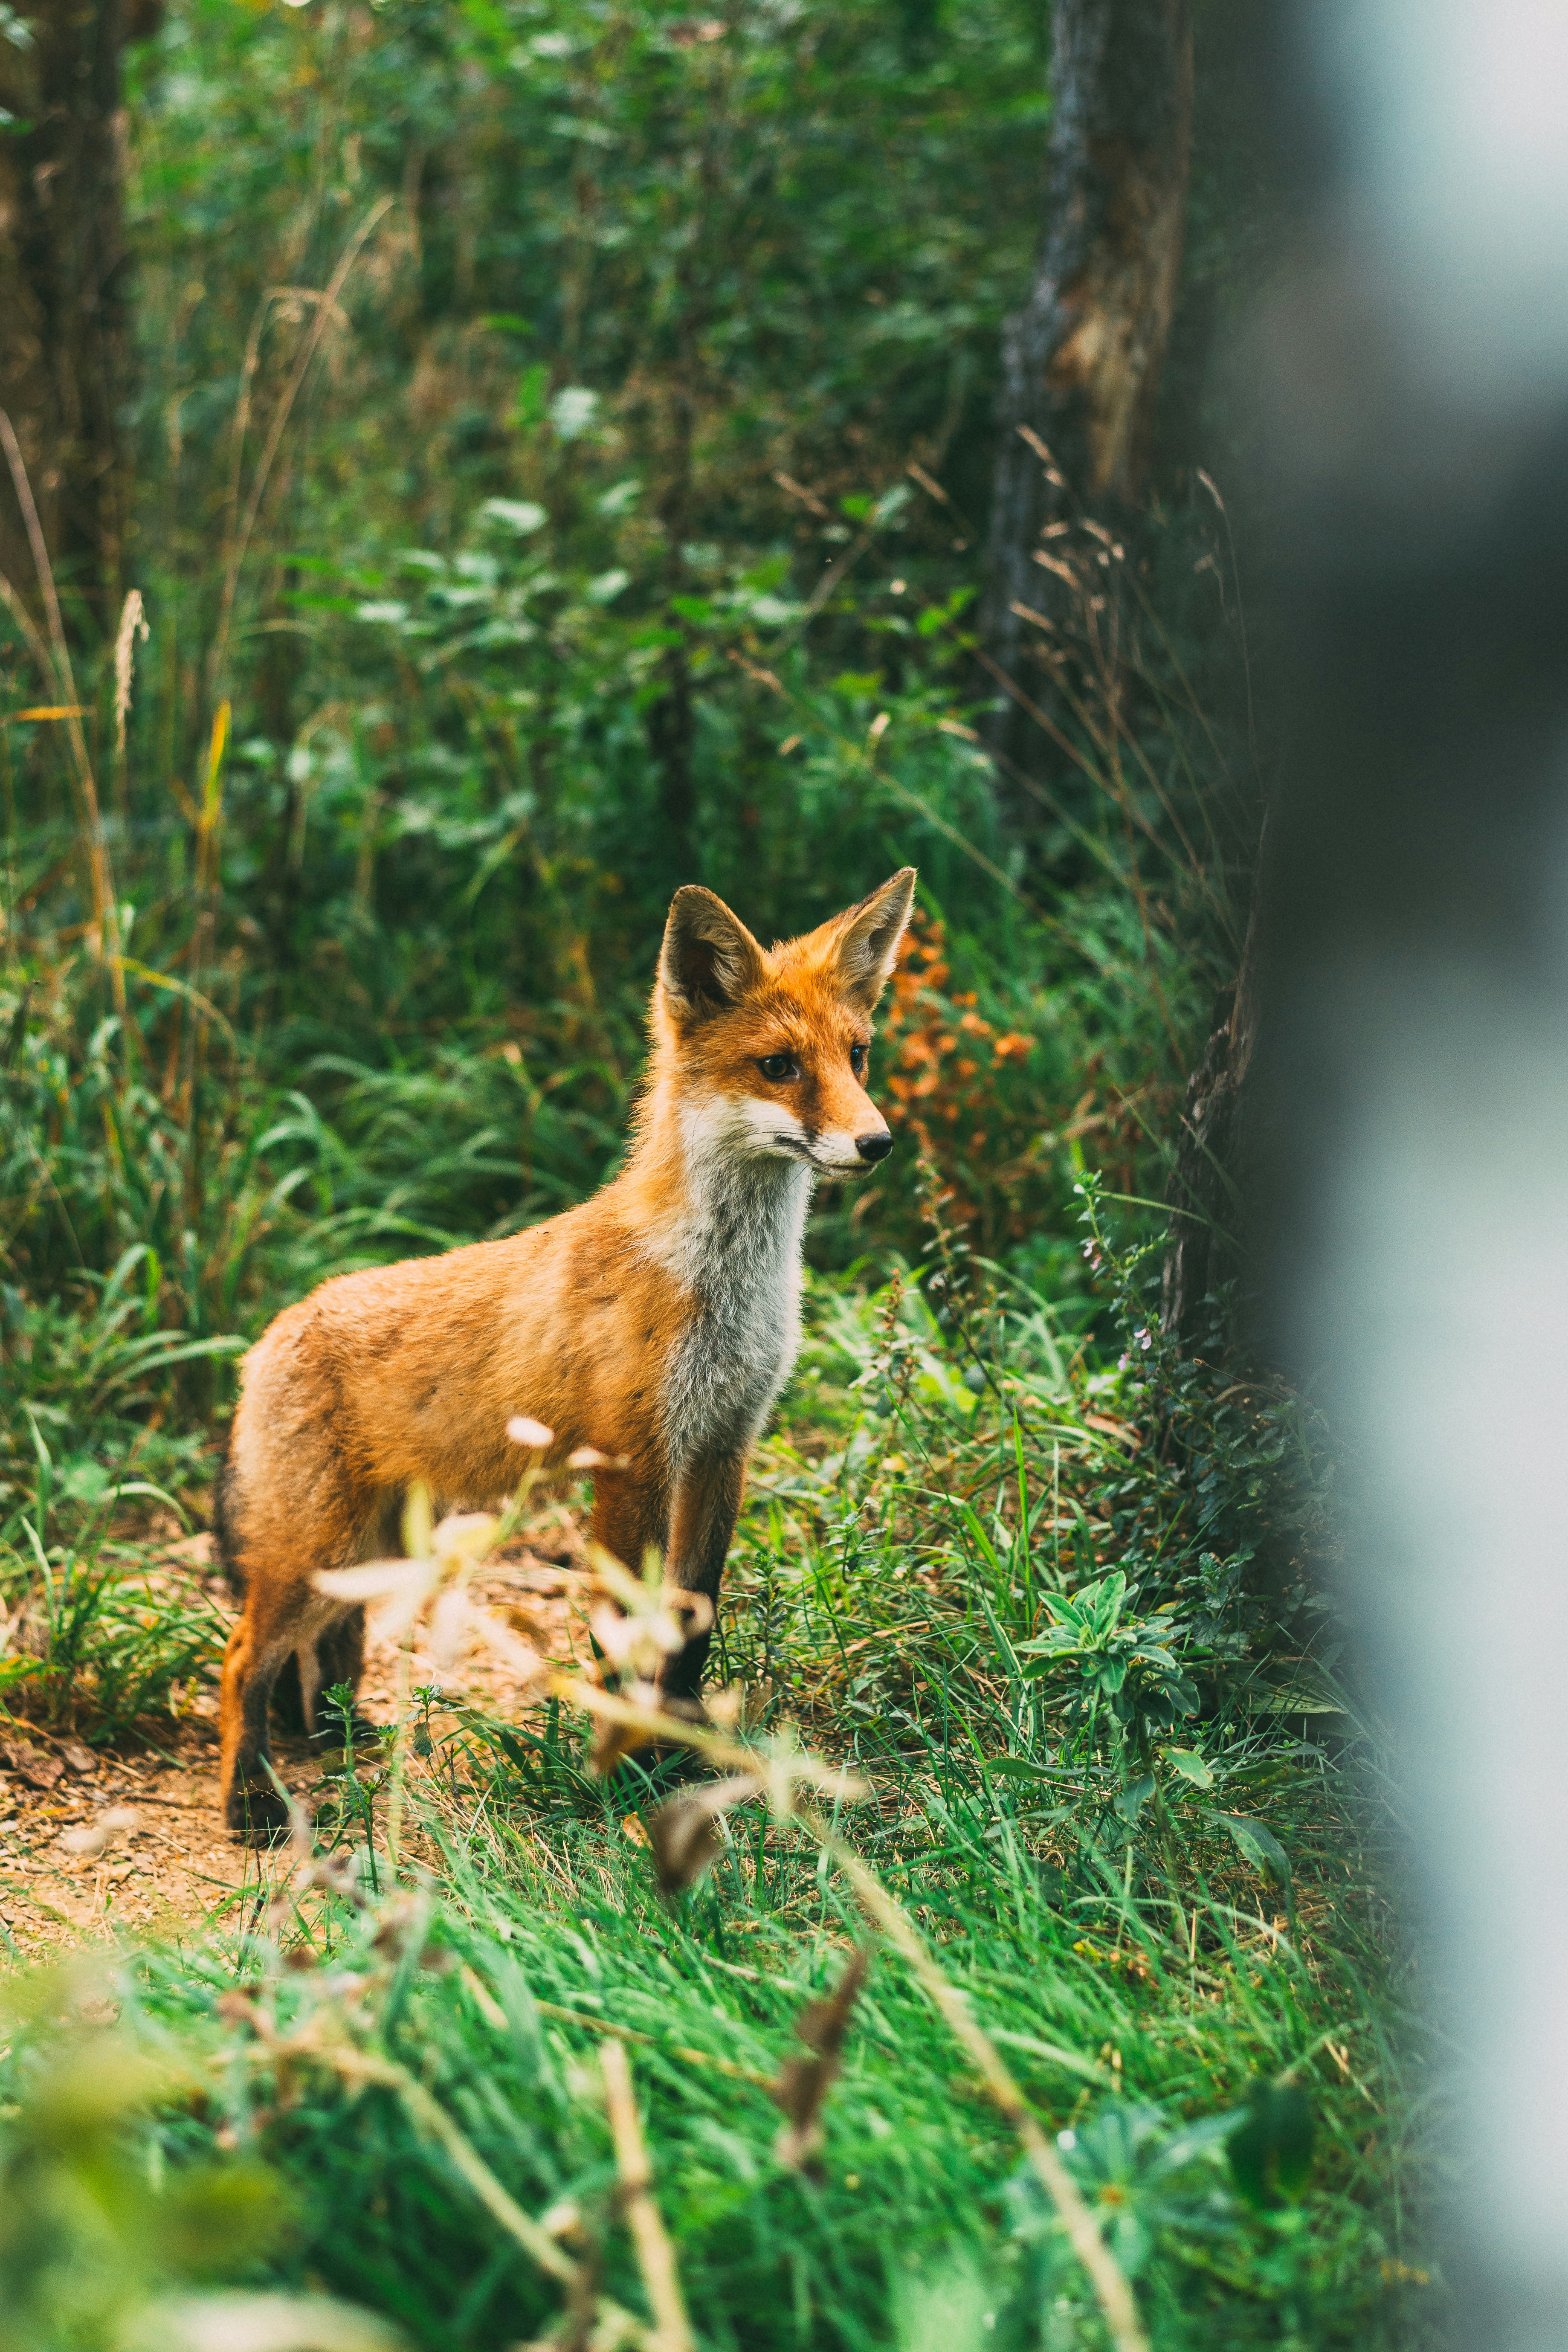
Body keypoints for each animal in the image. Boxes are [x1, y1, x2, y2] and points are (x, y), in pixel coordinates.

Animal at [215, 866, 916, 1837]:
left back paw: (330, 1735)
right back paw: (250, 1797)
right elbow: (621, 1637)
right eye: (779, 1066)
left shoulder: (722, 1445)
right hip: (317, 1545)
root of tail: (273, 1332)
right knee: (242, 1656)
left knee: (319, 1648)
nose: (876, 1142)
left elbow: (691, 1627)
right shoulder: (630, 1459)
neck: (724, 1289)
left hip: (369, 1546)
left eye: (856, 1056)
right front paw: (622, 1779)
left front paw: (679, 1758)